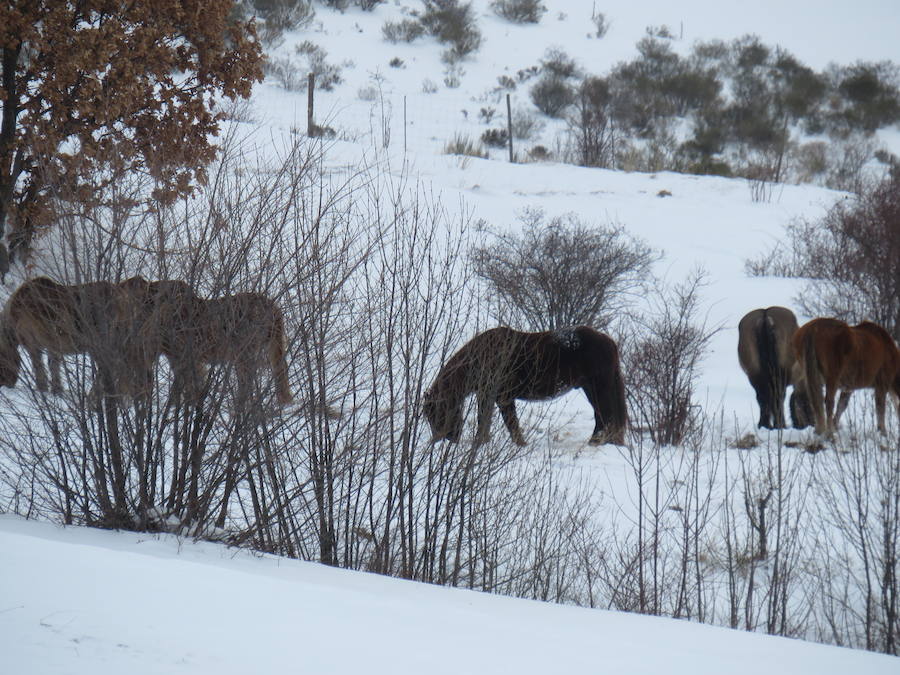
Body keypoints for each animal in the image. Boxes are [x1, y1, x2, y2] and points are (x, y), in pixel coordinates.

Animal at [422, 328, 624, 448]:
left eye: (436, 414)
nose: (445, 439)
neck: (482, 358)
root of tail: (609, 341)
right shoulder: (494, 397)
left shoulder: (499, 398)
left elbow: (503, 422)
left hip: (597, 389)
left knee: (604, 416)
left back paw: (594, 442)